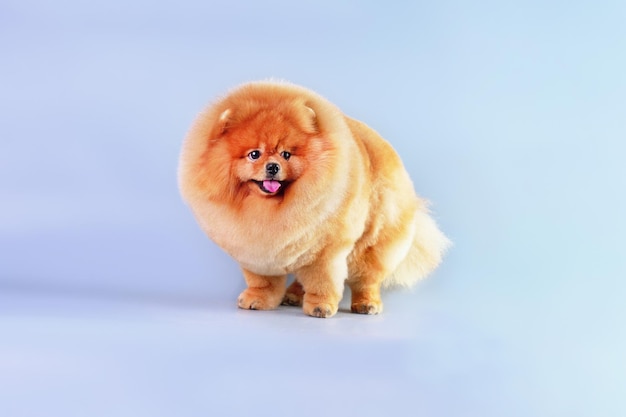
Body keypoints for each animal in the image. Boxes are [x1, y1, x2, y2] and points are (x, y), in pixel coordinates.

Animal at [177, 80, 448, 316]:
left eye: (286, 154)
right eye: (254, 154)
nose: (273, 166)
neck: (270, 210)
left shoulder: (325, 252)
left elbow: (323, 280)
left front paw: (320, 307)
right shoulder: (259, 252)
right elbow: (263, 281)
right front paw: (258, 299)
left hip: (371, 243)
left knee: (367, 278)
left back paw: (366, 304)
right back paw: (293, 295)